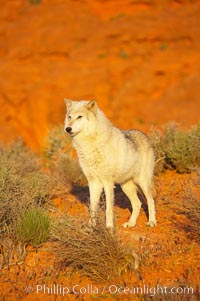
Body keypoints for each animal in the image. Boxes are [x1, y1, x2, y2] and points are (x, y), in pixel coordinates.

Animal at [64, 98, 156, 227]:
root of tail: (144, 135)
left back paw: (151, 222)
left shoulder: (107, 182)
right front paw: (91, 226)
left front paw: (109, 227)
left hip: (142, 182)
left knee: (150, 200)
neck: (90, 146)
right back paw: (131, 224)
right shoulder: (93, 182)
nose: (68, 129)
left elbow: (108, 209)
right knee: (137, 204)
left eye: (79, 117)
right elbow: (93, 207)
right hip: (126, 186)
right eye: (70, 117)